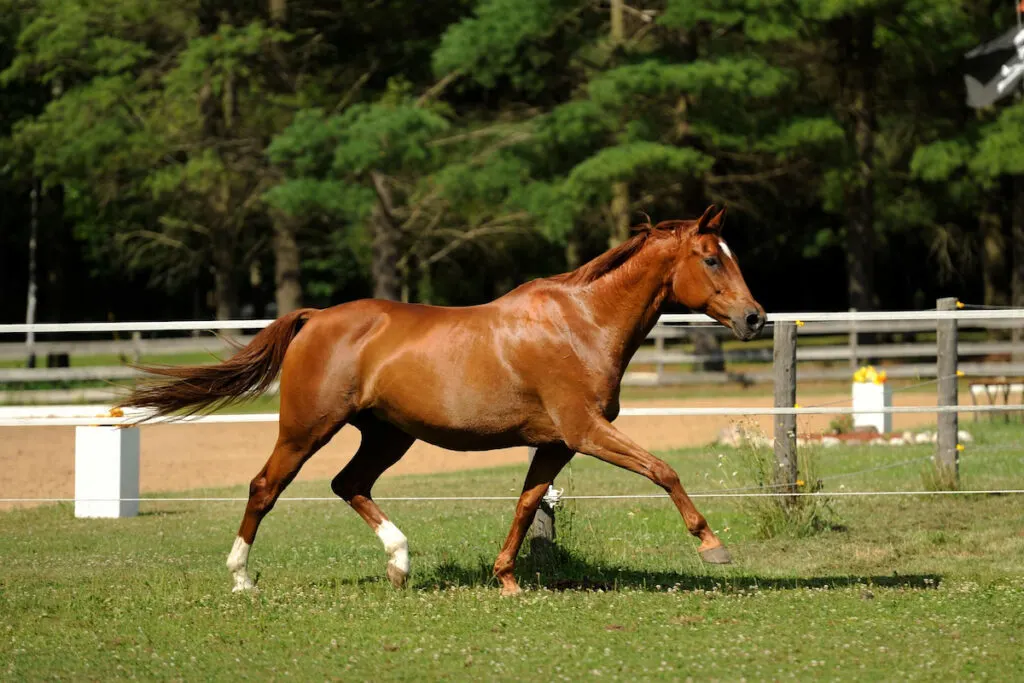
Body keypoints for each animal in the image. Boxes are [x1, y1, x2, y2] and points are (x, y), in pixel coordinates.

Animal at [117, 205, 761, 593]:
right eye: (711, 258)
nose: (754, 318)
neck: (582, 324)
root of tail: (315, 317)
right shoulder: (586, 432)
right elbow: (664, 469)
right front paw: (714, 547)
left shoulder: (557, 443)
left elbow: (526, 505)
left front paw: (506, 580)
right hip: (307, 429)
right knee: (264, 487)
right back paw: (242, 578)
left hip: (387, 435)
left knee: (348, 484)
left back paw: (400, 563)